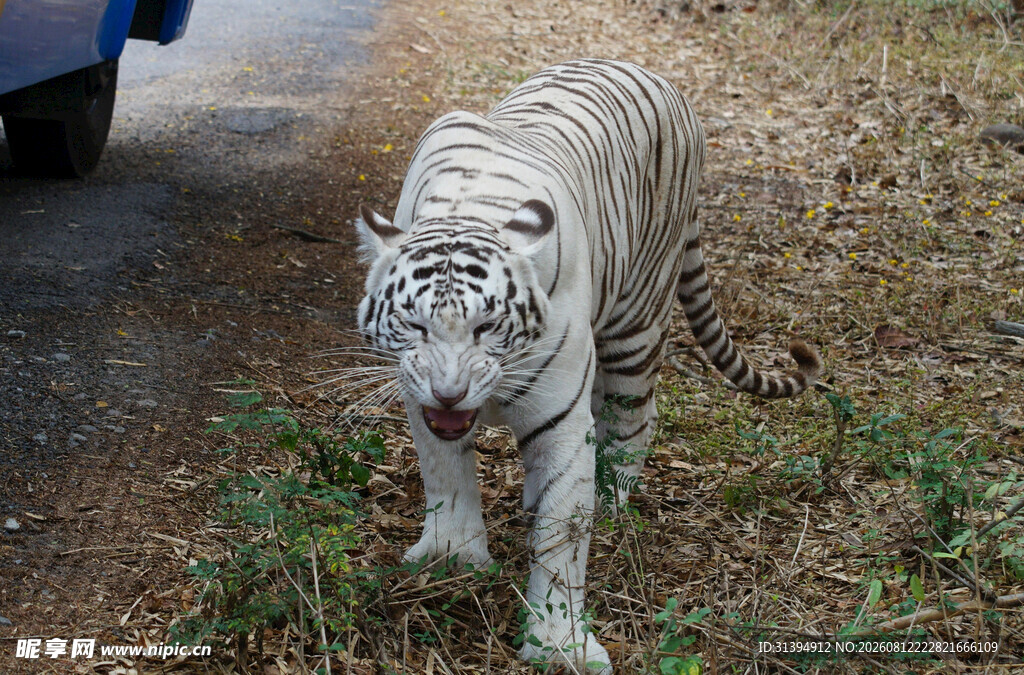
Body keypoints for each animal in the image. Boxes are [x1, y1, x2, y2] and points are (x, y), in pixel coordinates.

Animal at [354, 58, 821, 673]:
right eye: (414, 323)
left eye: (487, 326)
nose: (450, 392)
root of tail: (654, 74)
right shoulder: (419, 399)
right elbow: (445, 473)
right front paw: (451, 558)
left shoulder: (561, 422)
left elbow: (563, 539)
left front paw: (558, 644)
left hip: (637, 323)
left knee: (634, 420)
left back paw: (611, 502)